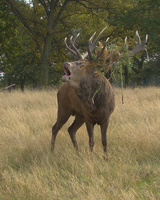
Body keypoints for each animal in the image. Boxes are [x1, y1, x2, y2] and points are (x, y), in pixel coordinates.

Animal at [51, 27, 148, 159]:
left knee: (71, 129)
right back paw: (52, 151)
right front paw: (91, 157)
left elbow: (104, 140)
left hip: (79, 115)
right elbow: (91, 141)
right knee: (55, 128)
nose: (65, 63)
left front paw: (106, 158)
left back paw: (78, 152)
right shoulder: (88, 118)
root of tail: (60, 88)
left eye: (81, 64)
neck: (96, 106)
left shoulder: (106, 118)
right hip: (64, 108)